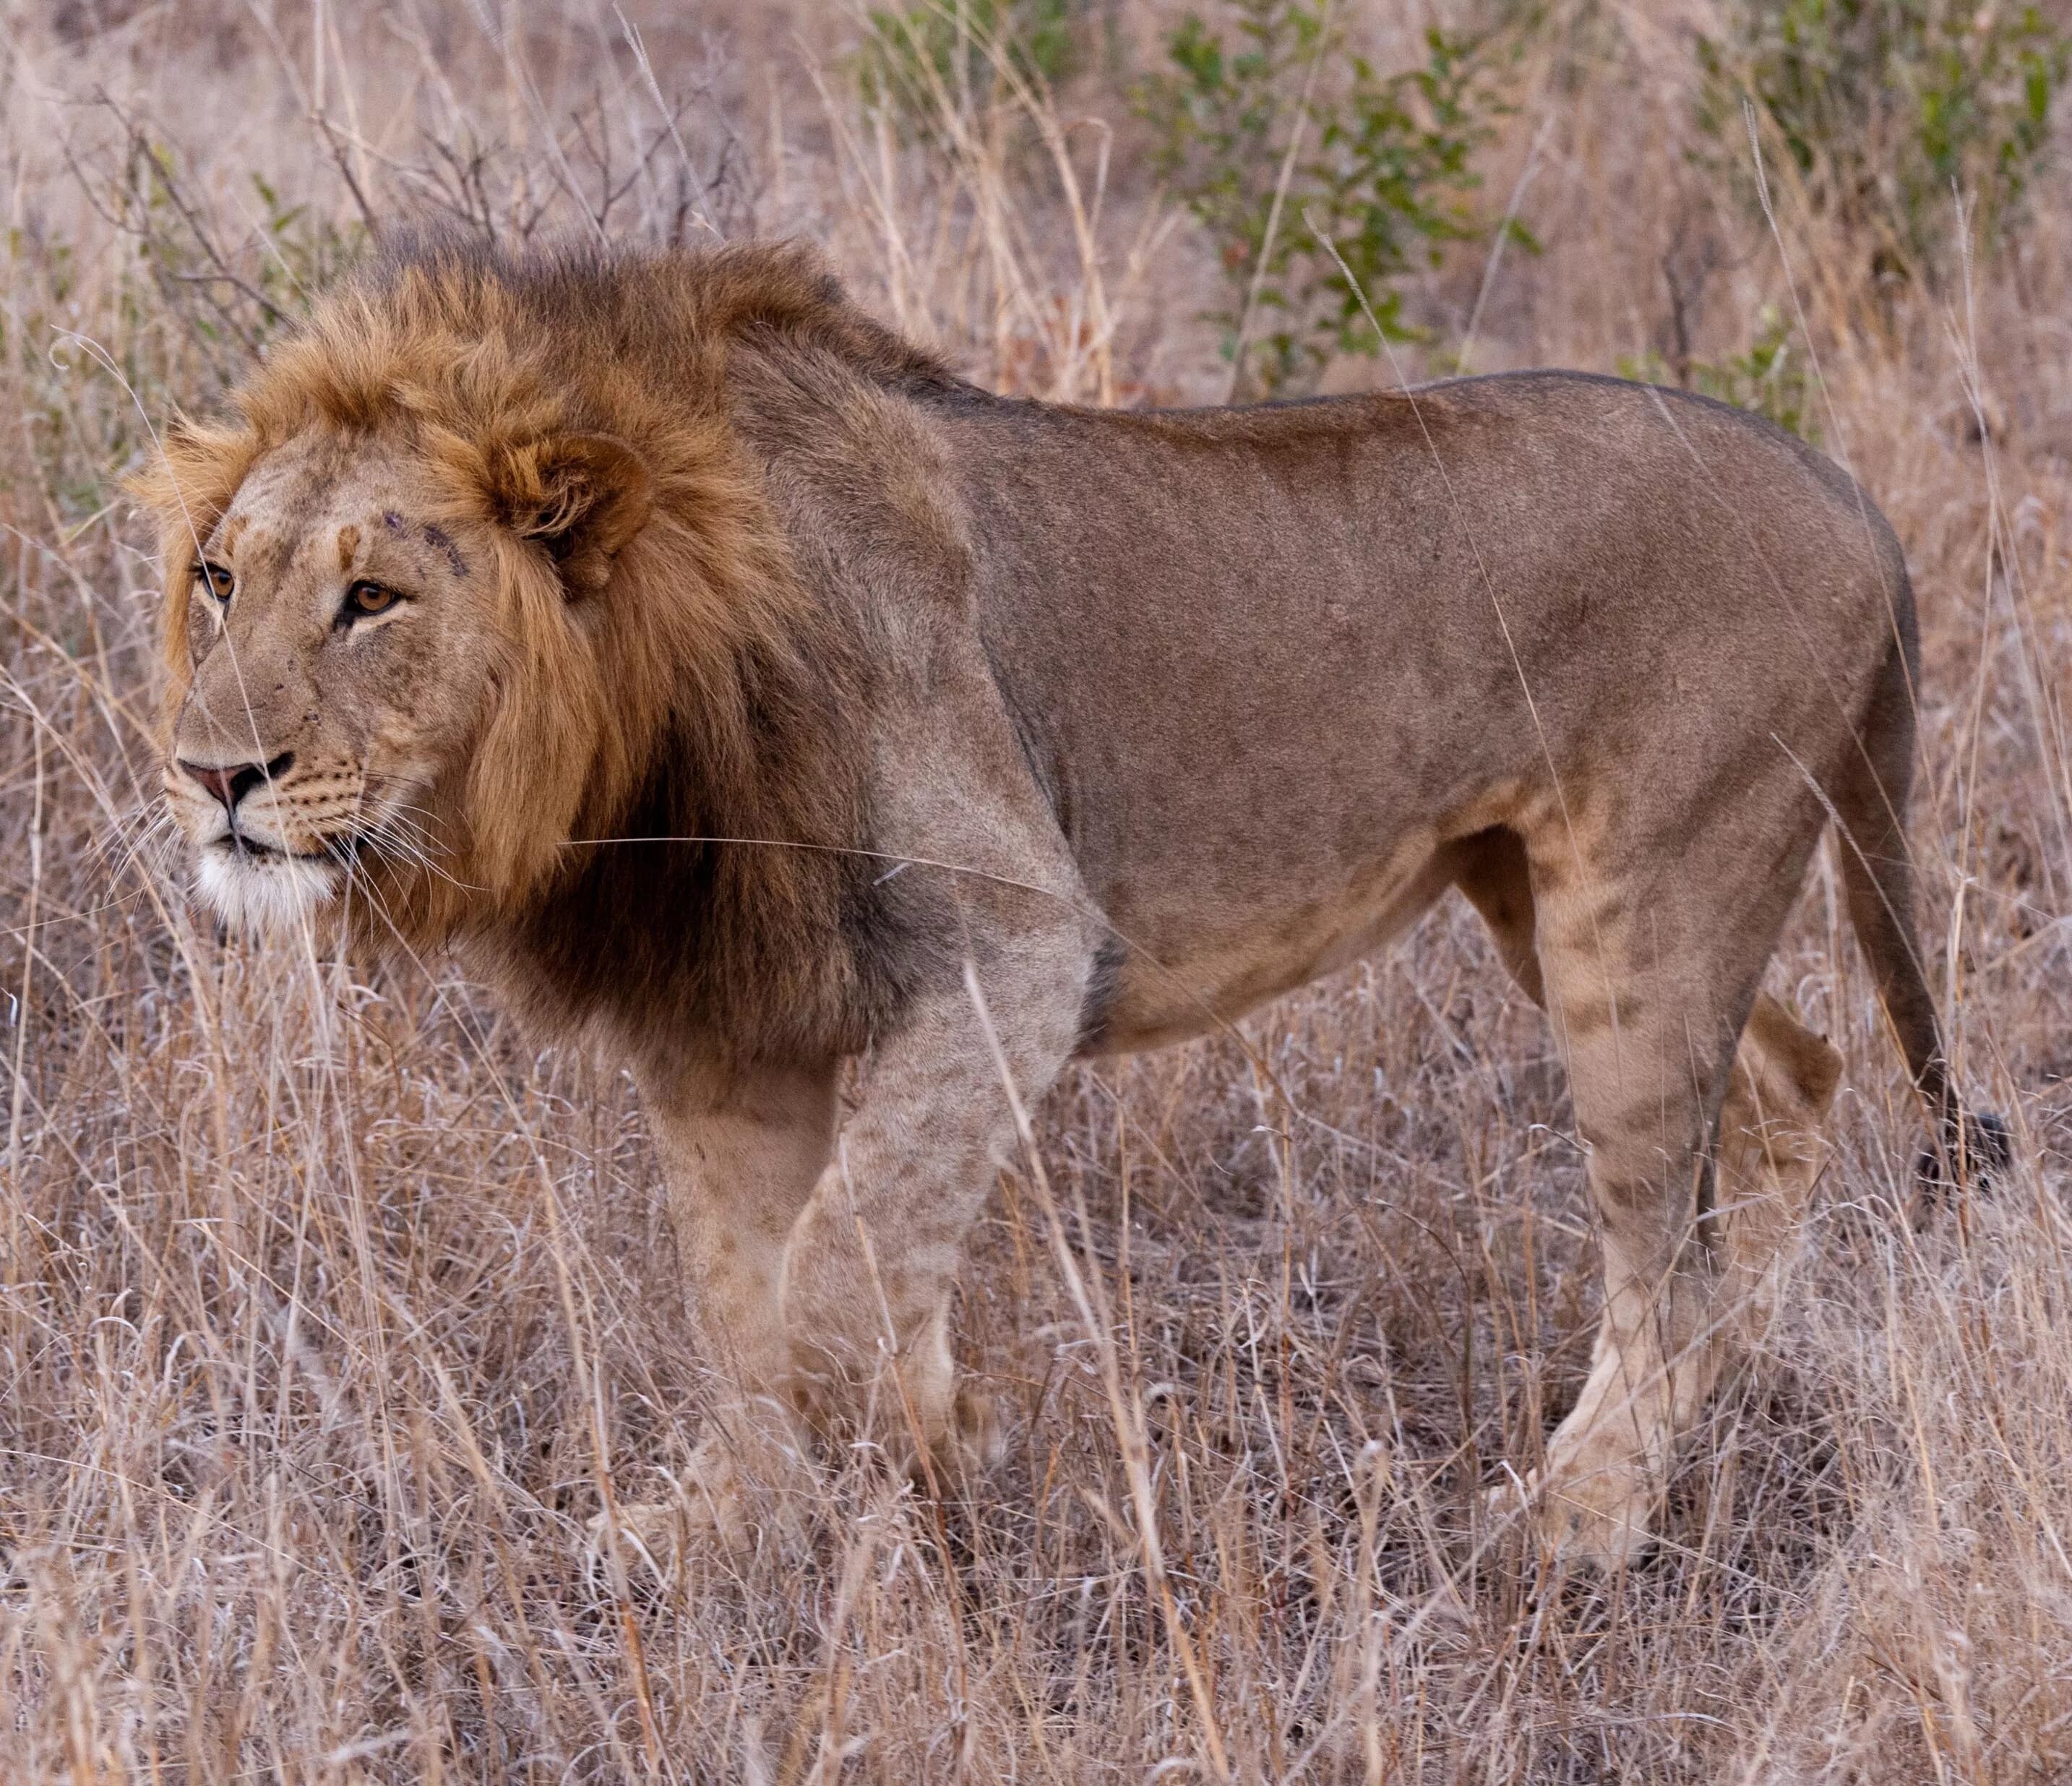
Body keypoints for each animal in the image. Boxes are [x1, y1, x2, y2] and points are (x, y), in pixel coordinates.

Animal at [133, 233, 2006, 1566]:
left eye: (374, 597)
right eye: (219, 578)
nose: (211, 773)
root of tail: (1851, 494)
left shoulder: (1013, 941)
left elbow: (831, 1274)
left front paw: (913, 1465)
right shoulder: (730, 1028)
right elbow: (751, 1290)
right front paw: (741, 1517)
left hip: (1649, 893)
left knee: (1661, 1228)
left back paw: (1578, 1517)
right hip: (1553, 899)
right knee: (1789, 1089)